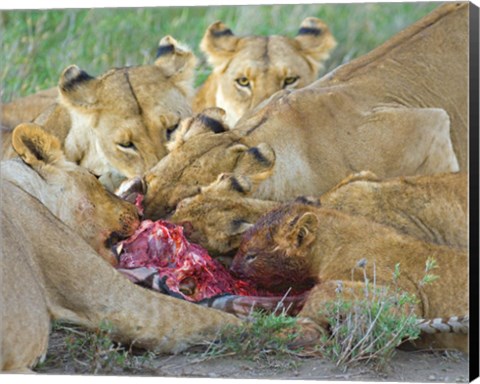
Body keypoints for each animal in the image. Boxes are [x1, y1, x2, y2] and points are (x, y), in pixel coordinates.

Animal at [232, 200, 468, 352]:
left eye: (251, 255)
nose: (233, 269)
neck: (329, 247)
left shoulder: (407, 297)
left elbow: (323, 289)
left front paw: (294, 328)